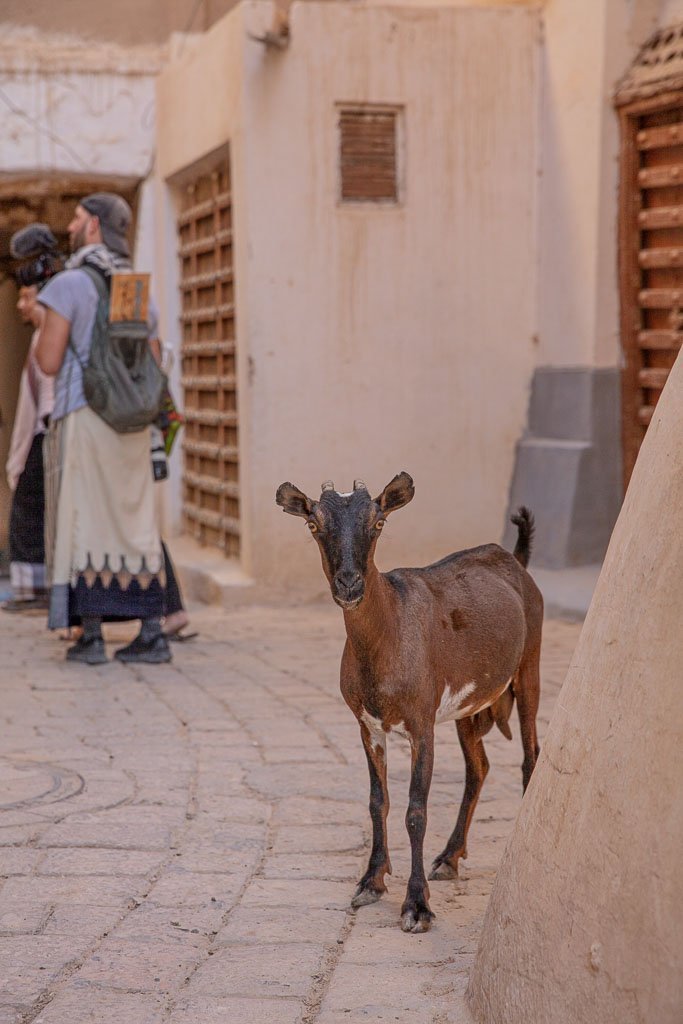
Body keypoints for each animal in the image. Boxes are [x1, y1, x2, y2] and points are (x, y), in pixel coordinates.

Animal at [274, 471, 540, 929]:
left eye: (379, 522)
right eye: (313, 524)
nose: (349, 584)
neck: (389, 630)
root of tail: (516, 562)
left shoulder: (421, 723)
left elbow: (416, 811)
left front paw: (417, 905)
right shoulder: (368, 726)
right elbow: (377, 801)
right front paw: (371, 881)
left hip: (529, 667)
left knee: (529, 755)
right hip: (468, 707)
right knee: (479, 767)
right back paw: (449, 857)